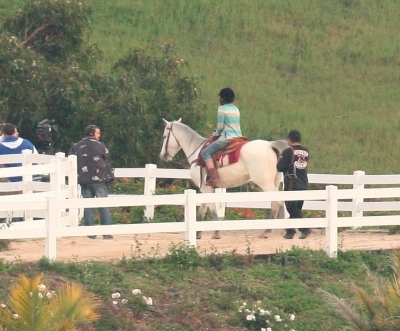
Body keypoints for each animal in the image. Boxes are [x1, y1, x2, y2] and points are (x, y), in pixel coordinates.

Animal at [159, 118, 288, 239]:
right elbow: (202, 209)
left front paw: (216, 232)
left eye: (164, 136)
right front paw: (198, 234)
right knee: (275, 204)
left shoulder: (206, 189)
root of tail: (270, 145)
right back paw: (270, 231)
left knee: (279, 202)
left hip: (265, 183)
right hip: (274, 182)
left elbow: (211, 209)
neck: (196, 152)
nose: (162, 156)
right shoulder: (206, 189)